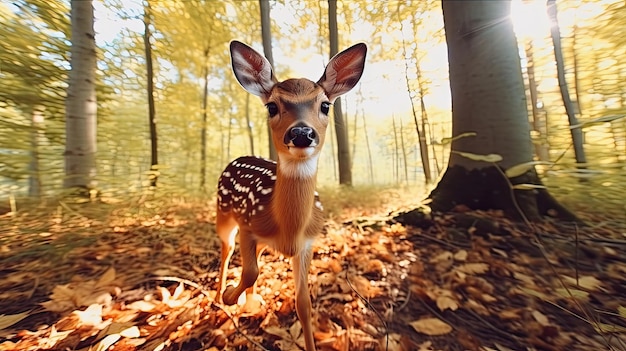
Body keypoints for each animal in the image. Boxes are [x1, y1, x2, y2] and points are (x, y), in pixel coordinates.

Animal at [214, 40, 366, 350]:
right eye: (272, 106)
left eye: (325, 105)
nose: (301, 133)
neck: (288, 228)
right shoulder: (248, 225)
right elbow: (250, 271)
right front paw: (229, 296)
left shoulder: (307, 244)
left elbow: (303, 303)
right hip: (223, 212)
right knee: (226, 250)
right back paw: (219, 295)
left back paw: (252, 302)